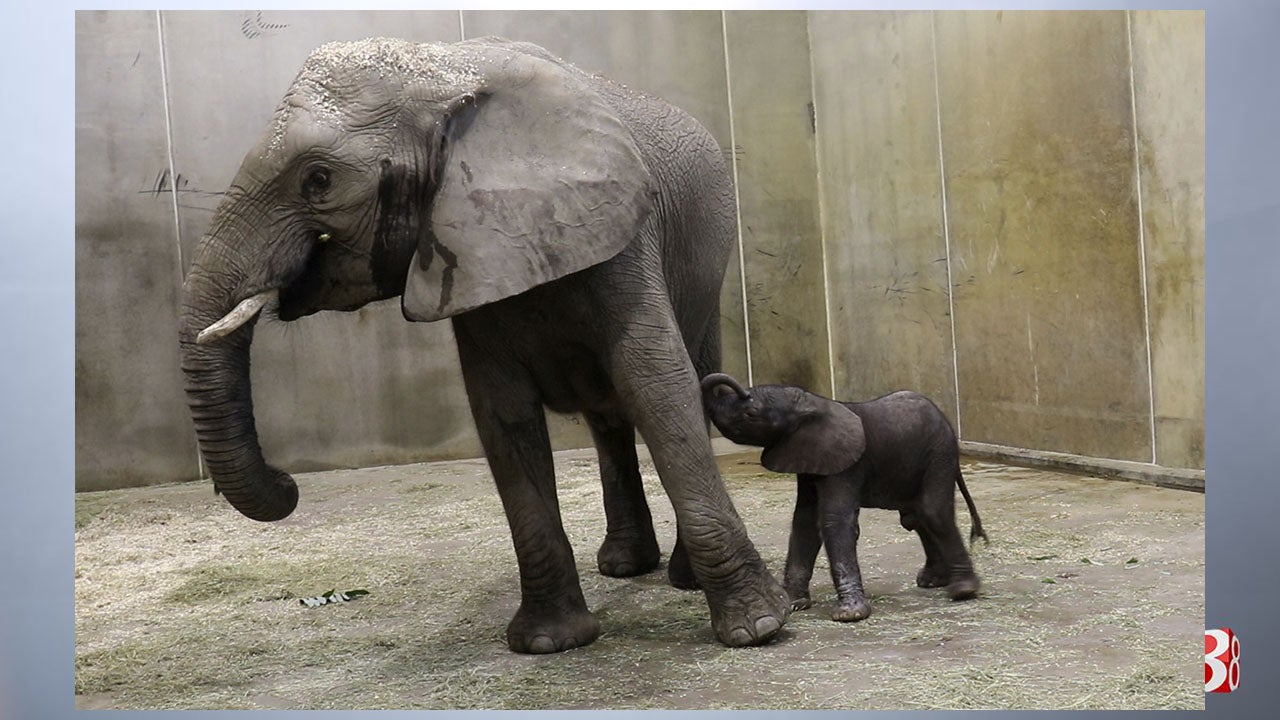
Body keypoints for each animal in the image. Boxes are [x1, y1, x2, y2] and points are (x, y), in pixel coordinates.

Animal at [175, 37, 783, 650]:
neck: (442, 71)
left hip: (706, 267)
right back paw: (622, 566)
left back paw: (679, 578)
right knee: (606, 419)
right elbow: (502, 415)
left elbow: (658, 387)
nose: (287, 482)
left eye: (318, 180)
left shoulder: (621, 235)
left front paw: (756, 628)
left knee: (688, 382)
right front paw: (549, 643)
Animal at [701, 371, 988, 620]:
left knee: (932, 512)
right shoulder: (810, 461)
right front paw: (793, 604)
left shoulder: (848, 466)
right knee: (915, 517)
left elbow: (834, 521)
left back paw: (963, 590)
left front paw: (850, 615)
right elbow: (805, 522)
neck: (813, 402)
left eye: (750, 413)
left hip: (939, 454)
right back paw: (933, 581)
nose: (735, 385)